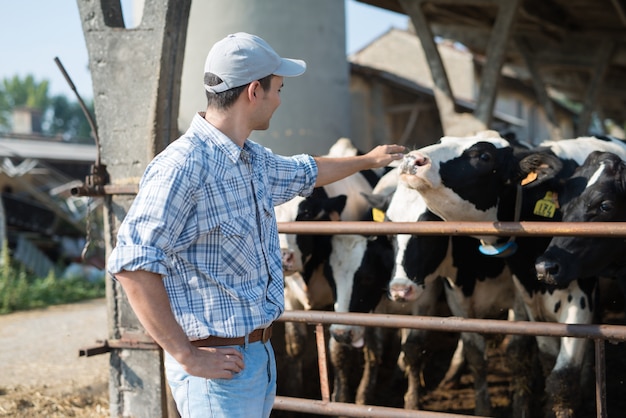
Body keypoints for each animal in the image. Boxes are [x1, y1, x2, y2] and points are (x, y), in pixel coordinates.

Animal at [394, 132, 624, 418]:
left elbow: (556, 376)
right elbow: (486, 355)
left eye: (484, 156)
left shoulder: (577, 300)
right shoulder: (516, 297)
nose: (412, 159)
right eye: (442, 140)